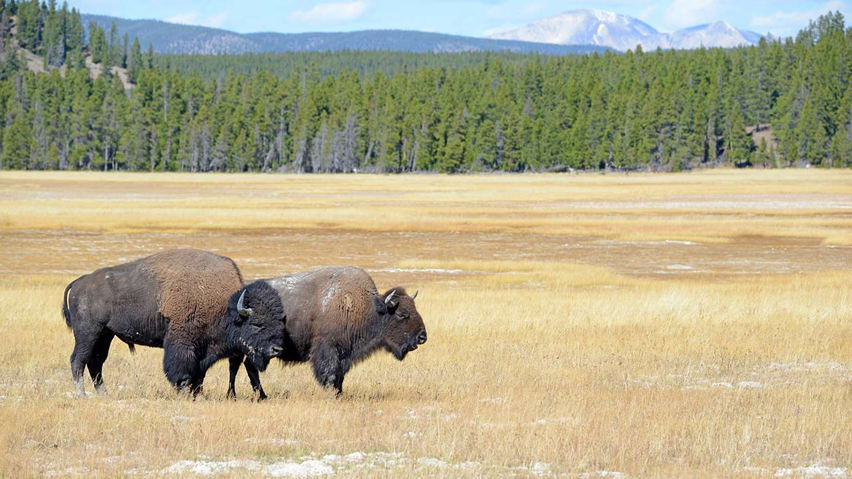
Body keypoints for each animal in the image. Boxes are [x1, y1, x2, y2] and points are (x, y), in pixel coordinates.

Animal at [62, 248, 286, 397]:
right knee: (78, 360)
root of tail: (80, 281)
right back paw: (82, 395)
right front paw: (184, 391)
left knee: (95, 362)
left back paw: (104, 394)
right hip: (88, 333)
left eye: (279, 321)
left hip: (105, 335)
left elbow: (200, 373)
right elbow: (182, 369)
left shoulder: (203, 351)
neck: (224, 305)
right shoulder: (183, 342)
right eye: (257, 323)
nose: (276, 349)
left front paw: (197, 393)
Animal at [228, 266, 427, 399]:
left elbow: (340, 376)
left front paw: (339, 393)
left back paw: (262, 396)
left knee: (248, 366)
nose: (422, 336)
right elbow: (330, 374)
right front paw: (332, 394)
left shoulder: (344, 354)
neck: (367, 308)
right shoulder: (328, 349)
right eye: (402, 314)